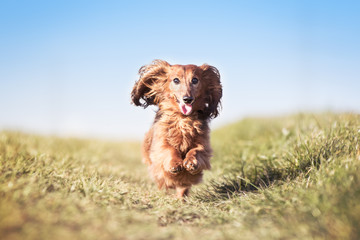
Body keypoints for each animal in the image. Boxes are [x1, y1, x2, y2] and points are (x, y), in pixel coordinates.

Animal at [131, 60, 222, 199]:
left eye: (195, 80)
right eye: (176, 80)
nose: (187, 99)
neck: (182, 119)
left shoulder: (203, 145)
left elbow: (196, 150)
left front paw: (191, 162)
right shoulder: (160, 145)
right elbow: (170, 149)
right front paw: (175, 164)